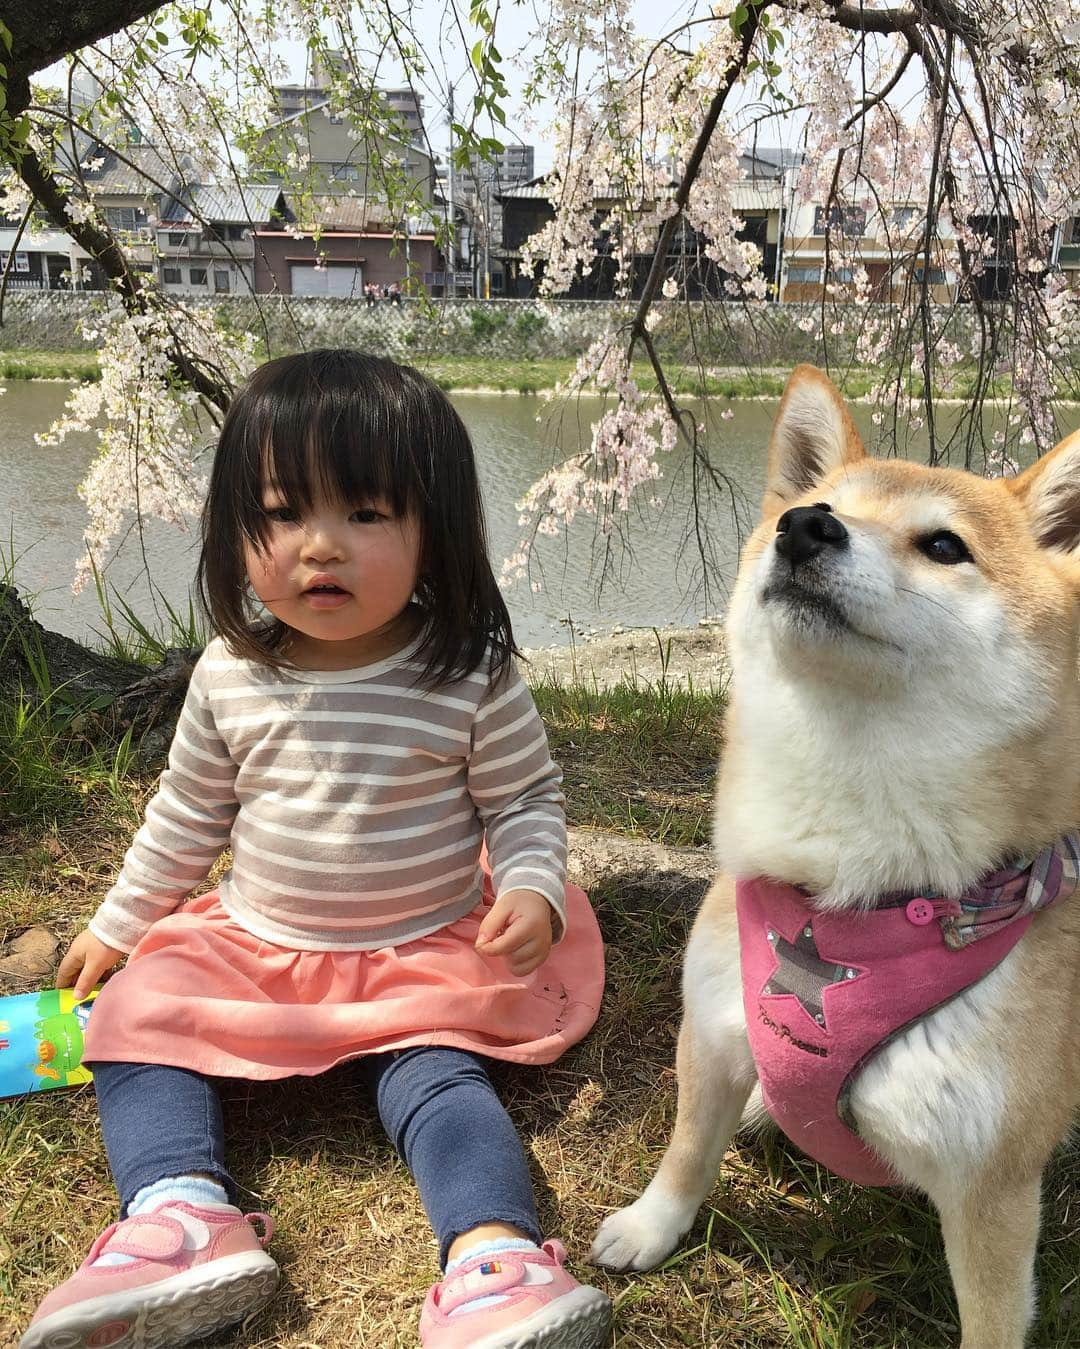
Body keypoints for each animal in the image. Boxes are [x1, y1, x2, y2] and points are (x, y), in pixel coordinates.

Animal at [590, 366, 1078, 1349]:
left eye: (944, 544)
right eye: (809, 506)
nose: (807, 526)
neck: (848, 889)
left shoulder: (993, 1184)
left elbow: (992, 1314)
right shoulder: (709, 1027)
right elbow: (686, 1148)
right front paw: (652, 1224)